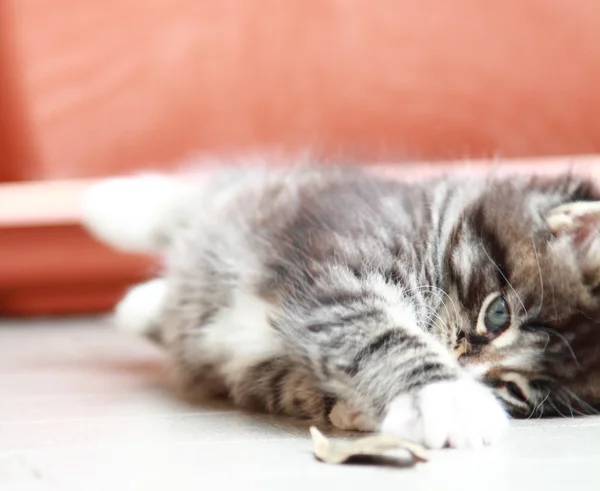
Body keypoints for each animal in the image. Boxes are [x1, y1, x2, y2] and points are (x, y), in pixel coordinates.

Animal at [82, 165, 600, 450]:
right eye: (497, 316)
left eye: (512, 388)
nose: (463, 369)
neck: (432, 228)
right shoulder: (341, 270)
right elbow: (383, 333)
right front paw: (449, 398)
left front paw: (358, 410)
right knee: (202, 196)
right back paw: (111, 203)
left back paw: (141, 302)